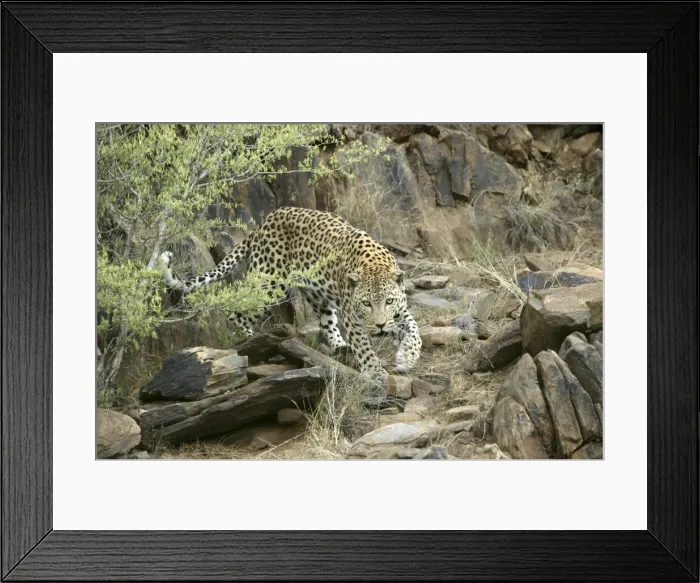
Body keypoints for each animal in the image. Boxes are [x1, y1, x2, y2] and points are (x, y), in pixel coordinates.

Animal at [158, 206, 422, 384]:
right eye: (366, 303)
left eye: (388, 301)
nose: (379, 326)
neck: (375, 265)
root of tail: (264, 222)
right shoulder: (353, 319)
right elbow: (365, 347)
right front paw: (376, 371)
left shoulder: (400, 312)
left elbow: (415, 331)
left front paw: (407, 357)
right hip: (269, 285)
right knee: (237, 315)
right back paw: (254, 342)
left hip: (316, 293)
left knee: (327, 322)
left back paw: (340, 345)